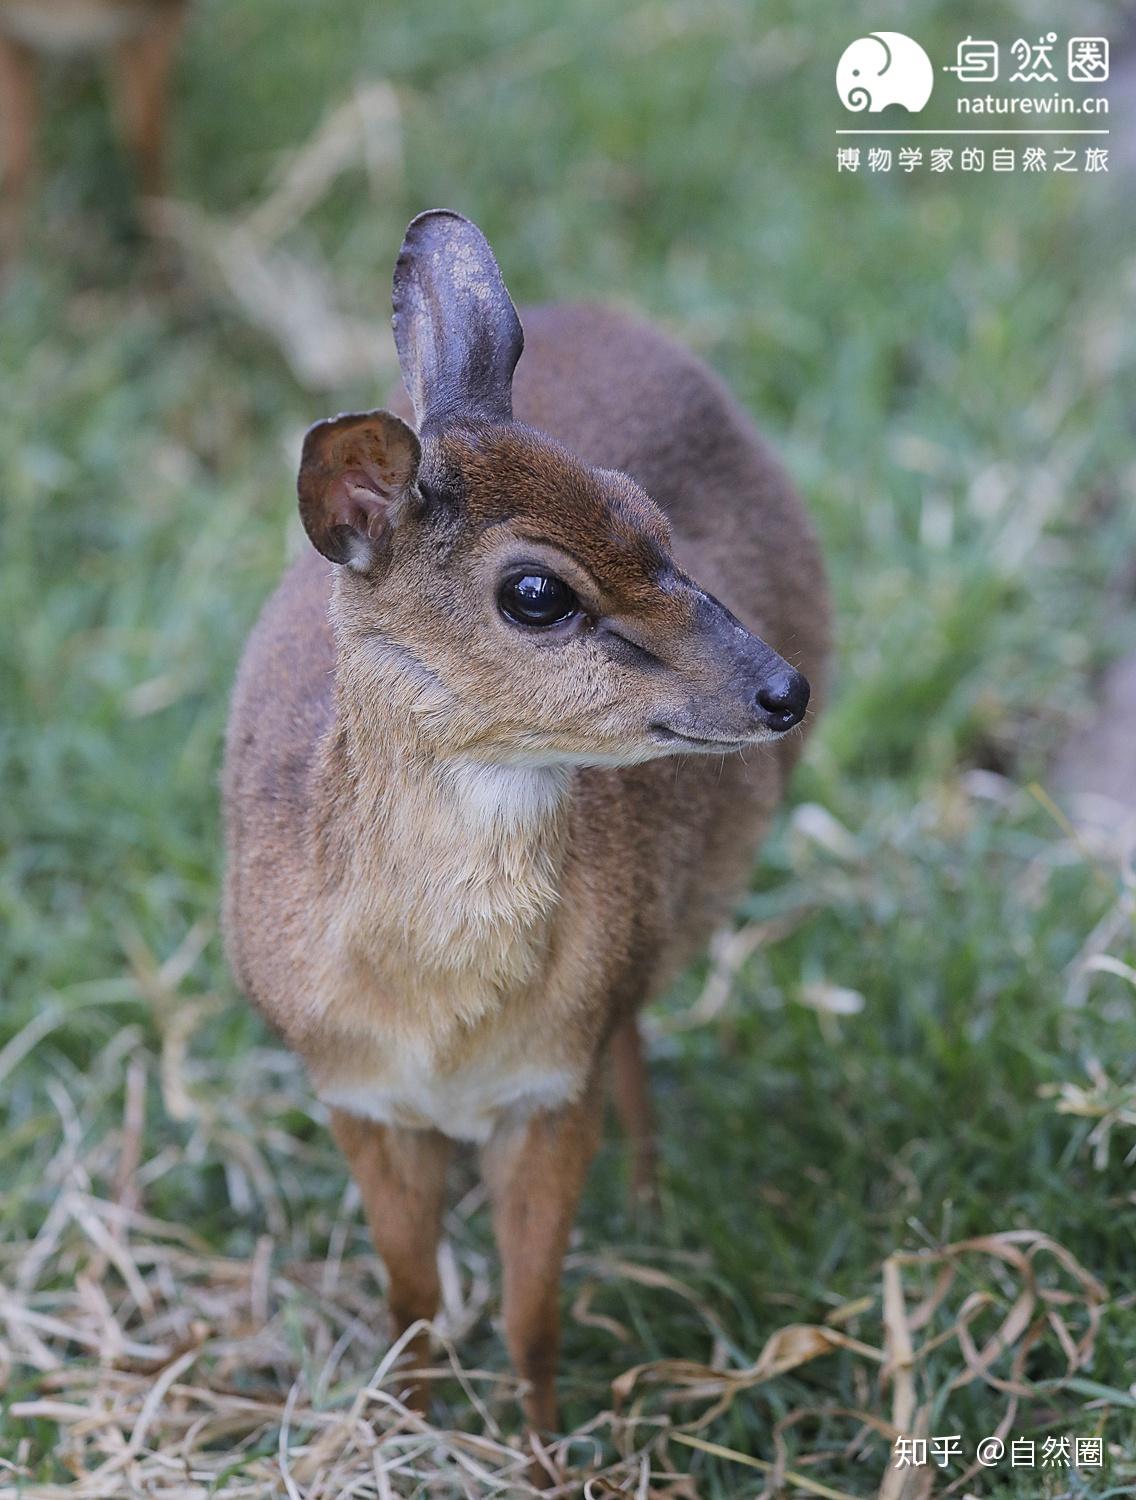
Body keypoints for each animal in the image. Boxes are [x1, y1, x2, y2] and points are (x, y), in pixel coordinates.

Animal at [223, 208, 834, 1428]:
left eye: (645, 513)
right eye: (536, 592)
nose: (781, 689)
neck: (440, 1020)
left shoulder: (553, 1087)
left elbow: (531, 1321)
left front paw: (545, 1450)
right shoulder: (357, 1097)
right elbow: (412, 1301)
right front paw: (409, 1426)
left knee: (636, 1037)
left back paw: (651, 1207)